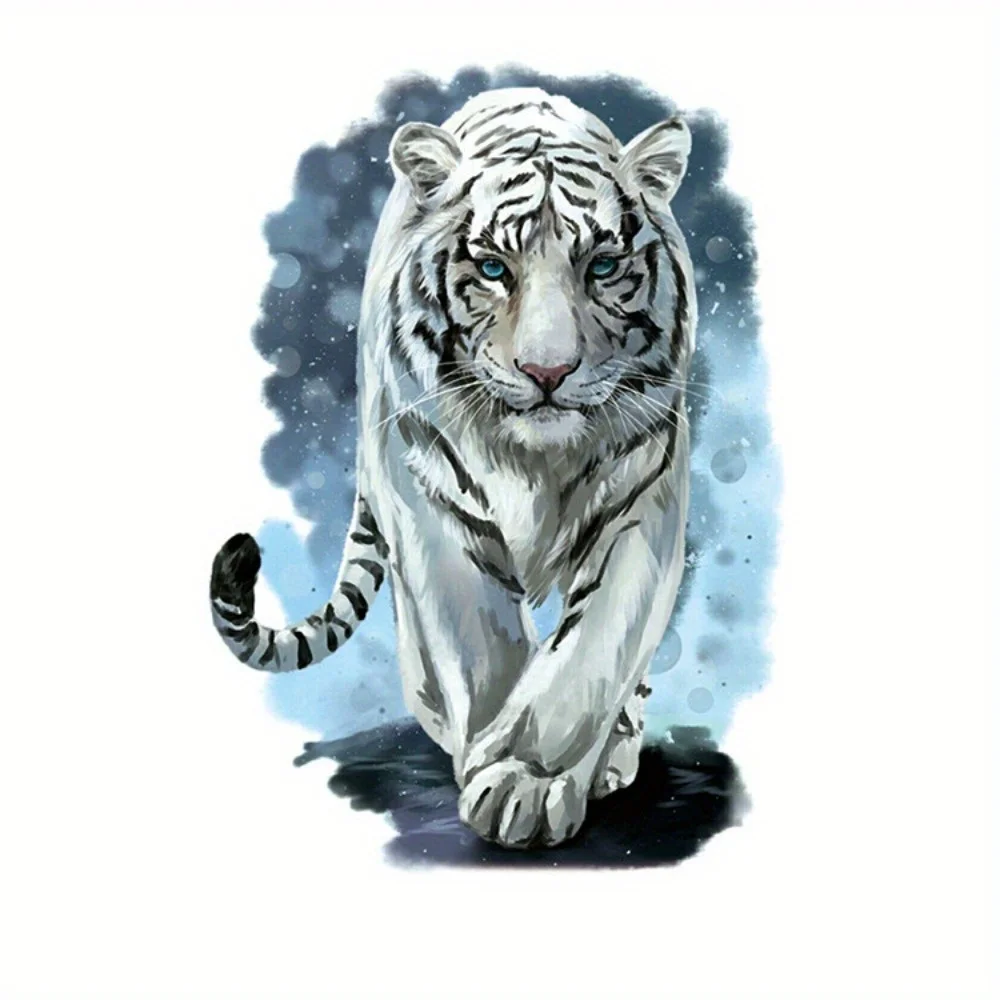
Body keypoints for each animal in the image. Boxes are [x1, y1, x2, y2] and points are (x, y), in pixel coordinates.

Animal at [210, 86, 696, 849]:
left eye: (602, 267)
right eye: (494, 269)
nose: (547, 372)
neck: (536, 459)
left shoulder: (641, 498)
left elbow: (593, 650)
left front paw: (528, 778)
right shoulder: (429, 496)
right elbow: (481, 643)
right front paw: (500, 772)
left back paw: (613, 756)